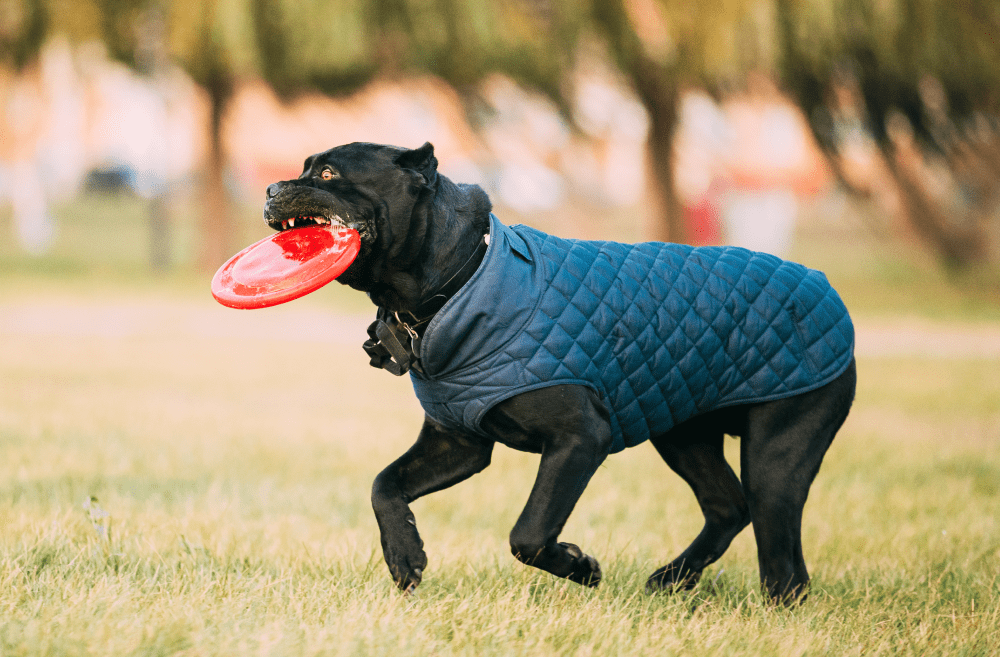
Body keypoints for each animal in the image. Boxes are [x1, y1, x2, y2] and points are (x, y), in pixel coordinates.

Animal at [262, 141, 856, 604]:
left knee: (782, 566)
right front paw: (405, 556)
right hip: (684, 433)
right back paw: (670, 580)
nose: (270, 188)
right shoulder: (456, 442)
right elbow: (384, 485)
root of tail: (825, 287)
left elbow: (529, 532)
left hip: (776, 455)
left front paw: (579, 565)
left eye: (328, 174)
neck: (461, 277)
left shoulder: (578, 438)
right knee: (728, 508)